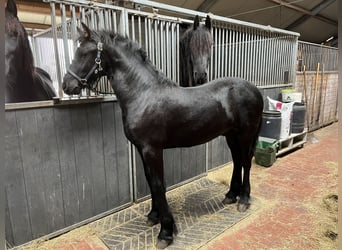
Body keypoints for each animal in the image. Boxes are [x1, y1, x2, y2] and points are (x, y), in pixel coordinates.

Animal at [62, 23, 264, 248]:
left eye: (85, 53)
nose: (67, 85)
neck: (143, 94)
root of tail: (254, 89)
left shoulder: (152, 150)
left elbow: (159, 185)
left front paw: (166, 232)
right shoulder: (142, 149)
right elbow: (151, 182)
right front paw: (154, 216)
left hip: (246, 134)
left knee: (245, 161)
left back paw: (244, 199)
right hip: (230, 135)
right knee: (237, 161)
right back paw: (230, 195)